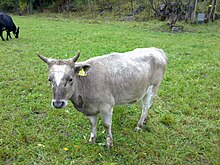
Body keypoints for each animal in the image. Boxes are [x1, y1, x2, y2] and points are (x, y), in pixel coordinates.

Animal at [37, 47, 168, 148]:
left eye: (70, 79)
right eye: (50, 79)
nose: (58, 103)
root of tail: (157, 50)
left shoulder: (107, 106)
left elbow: (106, 125)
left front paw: (109, 143)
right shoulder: (90, 109)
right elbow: (92, 124)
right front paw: (92, 140)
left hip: (152, 88)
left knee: (145, 107)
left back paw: (139, 125)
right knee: (146, 106)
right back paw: (144, 120)